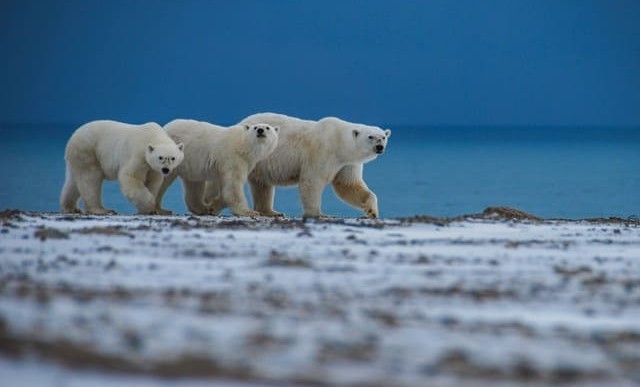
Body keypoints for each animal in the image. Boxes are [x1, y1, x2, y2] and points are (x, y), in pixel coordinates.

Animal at [239, 113, 390, 220]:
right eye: (370, 137)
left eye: (383, 137)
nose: (379, 147)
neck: (339, 141)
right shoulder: (322, 151)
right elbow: (312, 180)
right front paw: (319, 214)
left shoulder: (347, 163)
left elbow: (349, 185)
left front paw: (372, 211)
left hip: (261, 167)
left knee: (262, 185)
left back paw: (271, 212)